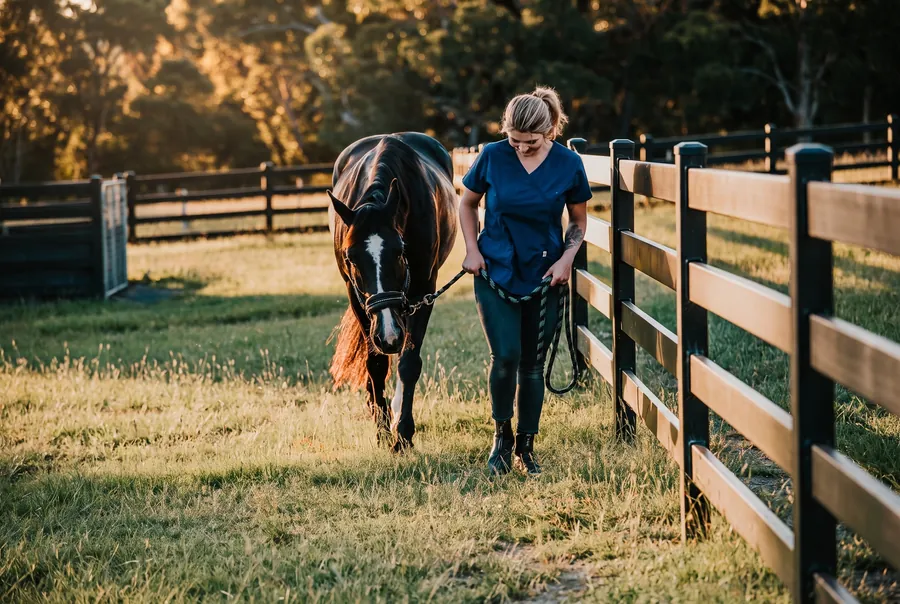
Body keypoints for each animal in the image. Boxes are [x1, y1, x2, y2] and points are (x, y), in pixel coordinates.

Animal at [326, 132, 458, 451]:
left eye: (400, 251)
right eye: (350, 257)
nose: (388, 335)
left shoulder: (423, 292)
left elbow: (409, 362)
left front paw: (404, 432)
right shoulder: (357, 297)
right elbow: (375, 364)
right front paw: (382, 430)